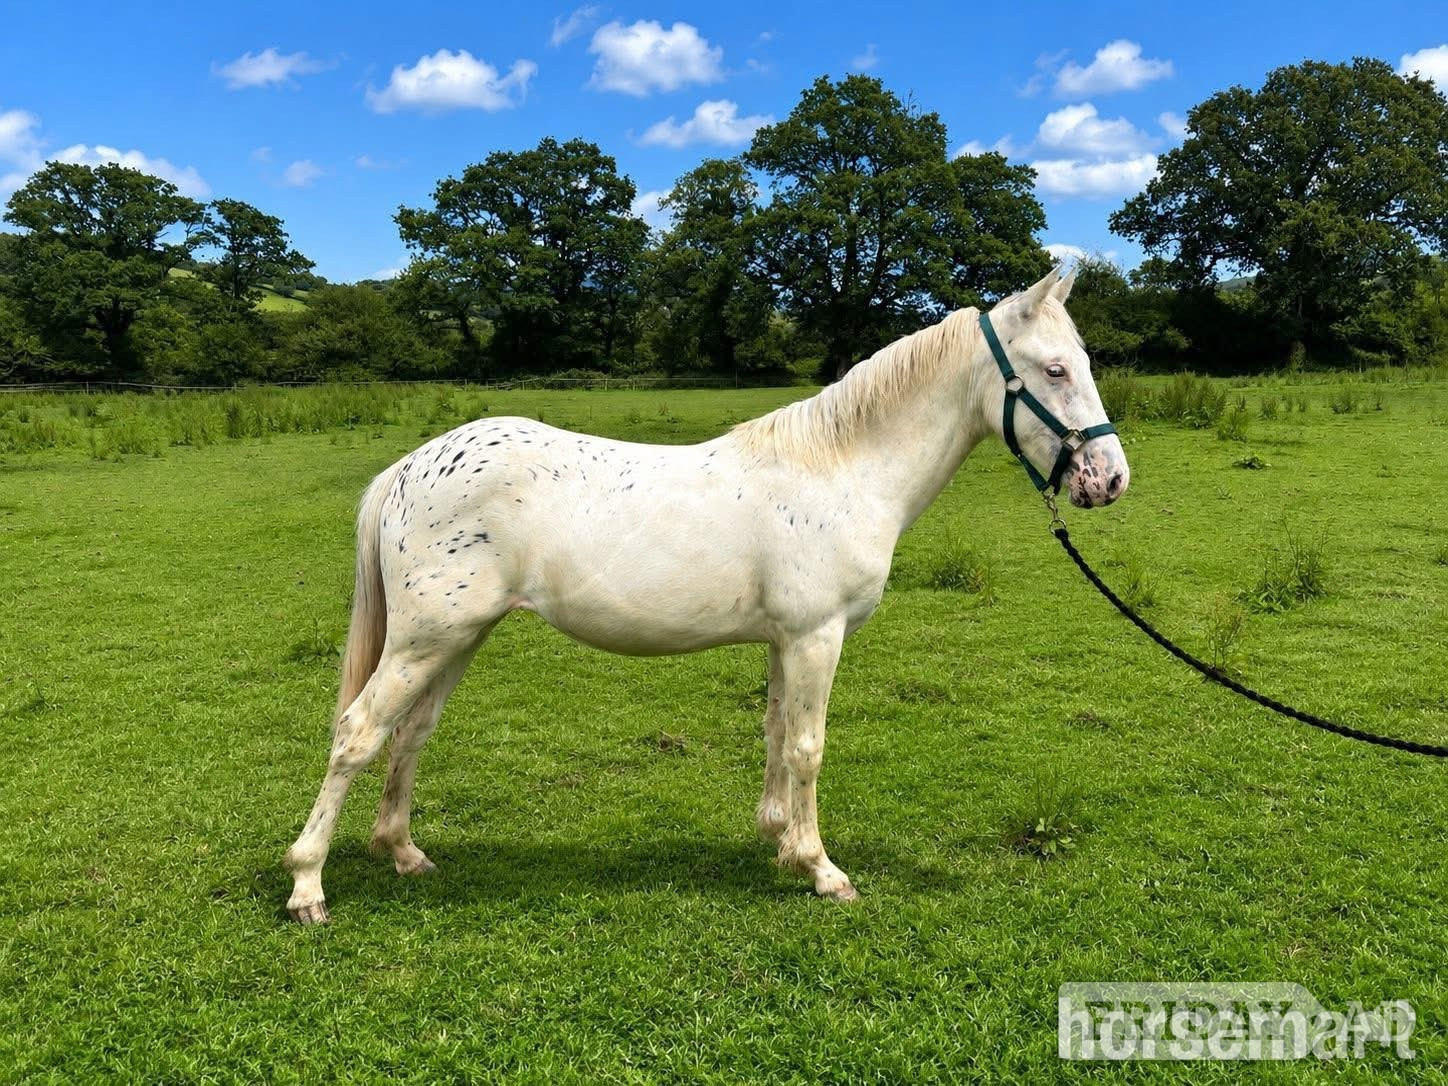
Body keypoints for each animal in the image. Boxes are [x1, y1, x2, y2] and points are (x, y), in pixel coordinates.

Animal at [283, 266, 1129, 924]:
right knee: (357, 733)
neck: (841, 469)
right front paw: (823, 869)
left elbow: (776, 733)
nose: (1111, 480)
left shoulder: (787, 640)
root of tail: (409, 467)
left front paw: (781, 841)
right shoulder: (817, 636)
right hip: (426, 638)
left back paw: (403, 853)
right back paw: (307, 886)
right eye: (1055, 369)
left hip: (457, 638)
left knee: (411, 732)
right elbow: (808, 746)